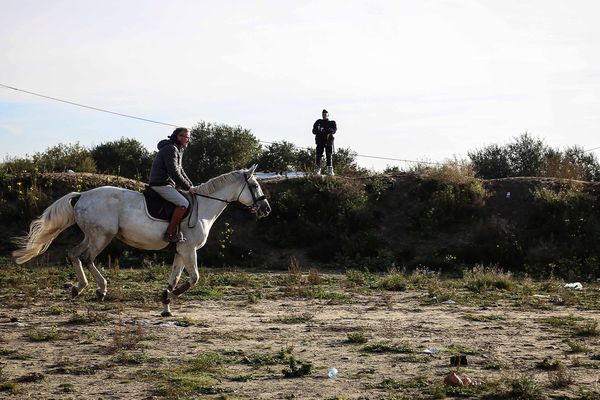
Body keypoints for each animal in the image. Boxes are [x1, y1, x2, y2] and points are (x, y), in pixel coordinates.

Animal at [12, 166, 270, 316]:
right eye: (255, 185)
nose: (266, 209)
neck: (204, 208)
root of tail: (82, 195)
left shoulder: (180, 251)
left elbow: (174, 278)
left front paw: (166, 304)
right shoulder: (189, 249)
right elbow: (194, 278)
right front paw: (175, 296)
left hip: (92, 235)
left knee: (74, 254)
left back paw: (79, 288)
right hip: (102, 236)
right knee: (86, 257)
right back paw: (100, 289)